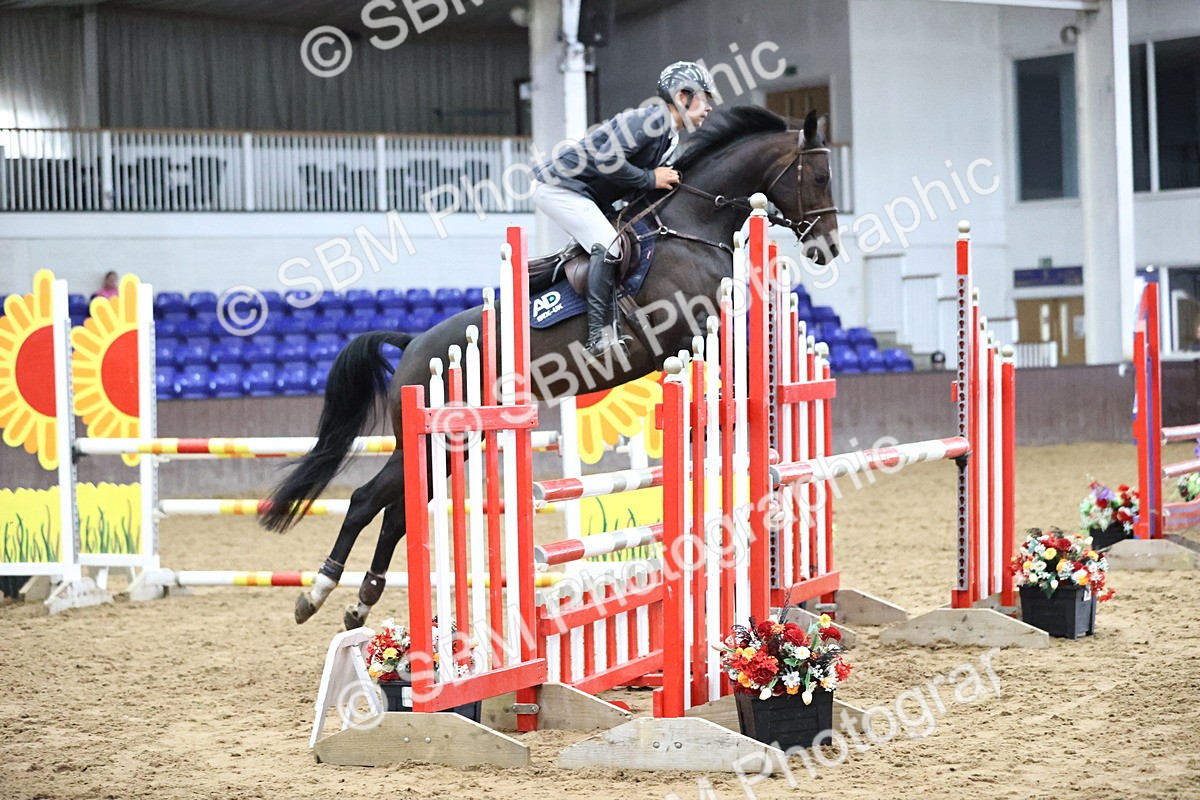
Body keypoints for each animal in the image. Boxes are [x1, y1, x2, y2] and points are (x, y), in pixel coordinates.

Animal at [260, 106, 841, 629]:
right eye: (820, 176)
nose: (828, 248)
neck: (691, 228)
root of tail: (413, 344)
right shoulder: (690, 331)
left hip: (450, 446)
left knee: (399, 512)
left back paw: (362, 602)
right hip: (426, 442)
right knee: (365, 501)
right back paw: (318, 591)